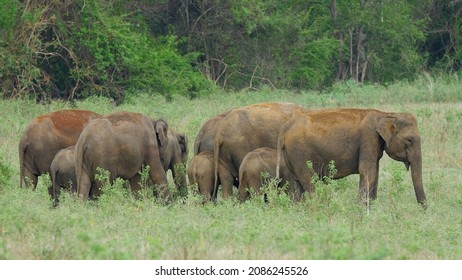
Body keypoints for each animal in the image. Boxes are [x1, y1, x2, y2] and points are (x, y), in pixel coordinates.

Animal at [278, 108, 426, 207]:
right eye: (410, 140)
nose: (423, 208)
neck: (386, 114)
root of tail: (285, 131)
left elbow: (375, 173)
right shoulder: (368, 138)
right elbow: (367, 172)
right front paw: (362, 208)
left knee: (297, 184)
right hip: (300, 154)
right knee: (310, 182)